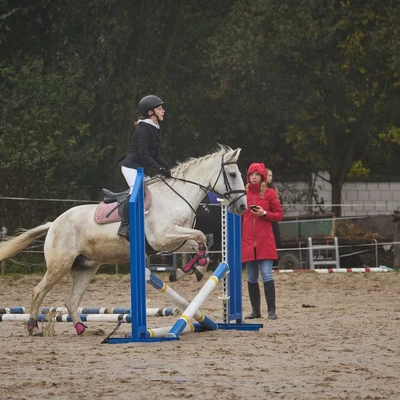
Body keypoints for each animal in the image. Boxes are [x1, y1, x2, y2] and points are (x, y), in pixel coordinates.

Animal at [0, 145, 247, 336]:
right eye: (233, 174)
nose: (243, 207)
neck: (177, 196)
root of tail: (54, 224)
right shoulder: (163, 238)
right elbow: (200, 237)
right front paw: (191, 269)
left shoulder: (174, 239)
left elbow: (200, 242)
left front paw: (191, 269)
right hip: (59, 265)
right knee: (38, 291)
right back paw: (32, 326)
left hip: (85, 268)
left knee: (71, 301)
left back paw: (81, 329)